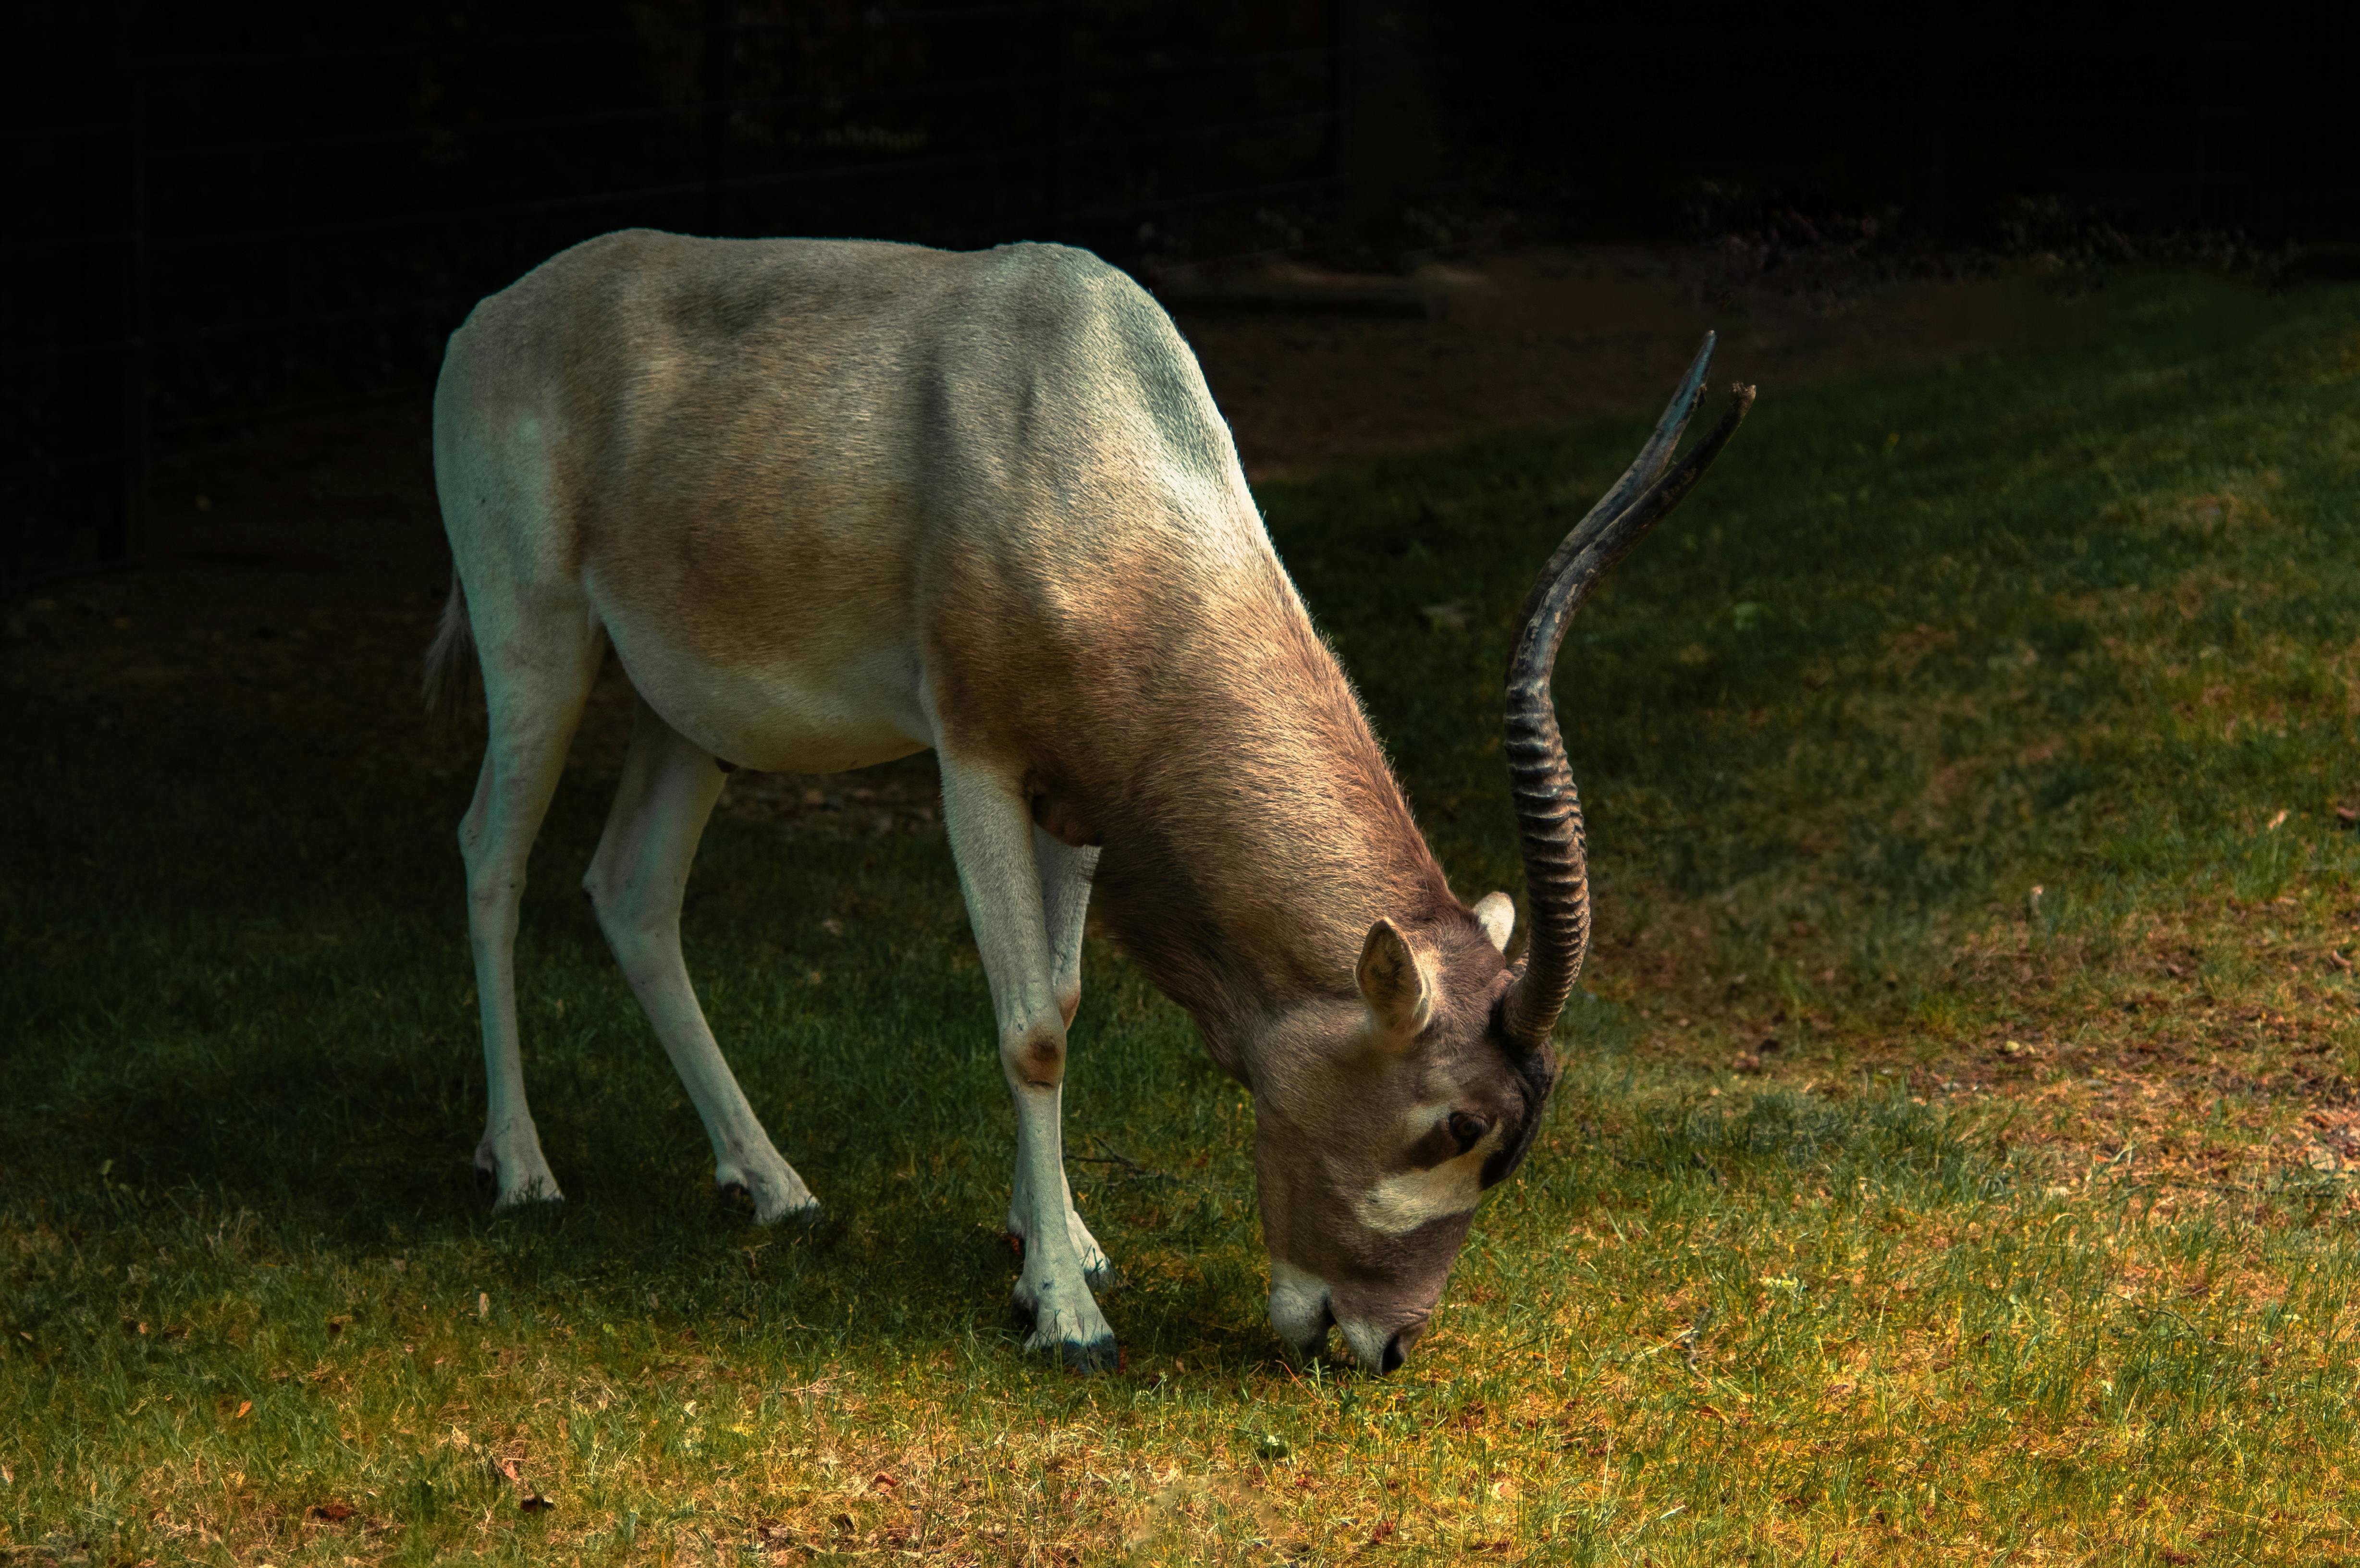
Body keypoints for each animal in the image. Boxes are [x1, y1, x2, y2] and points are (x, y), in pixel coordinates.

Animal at [425, 228, 1750, 1372]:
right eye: (1454, 1127)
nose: (1378, 1347)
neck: (1086, 431)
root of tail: (493, 317)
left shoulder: (1079, 803)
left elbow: (1059, 995)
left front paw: (1051, 1247)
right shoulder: (975, 759)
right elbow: (1031, 1029)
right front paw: (1065, 1316)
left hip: (689, 715)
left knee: (632, 891)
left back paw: (773, 1186)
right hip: (538, 638)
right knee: (489, 855)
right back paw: (521, 1170)